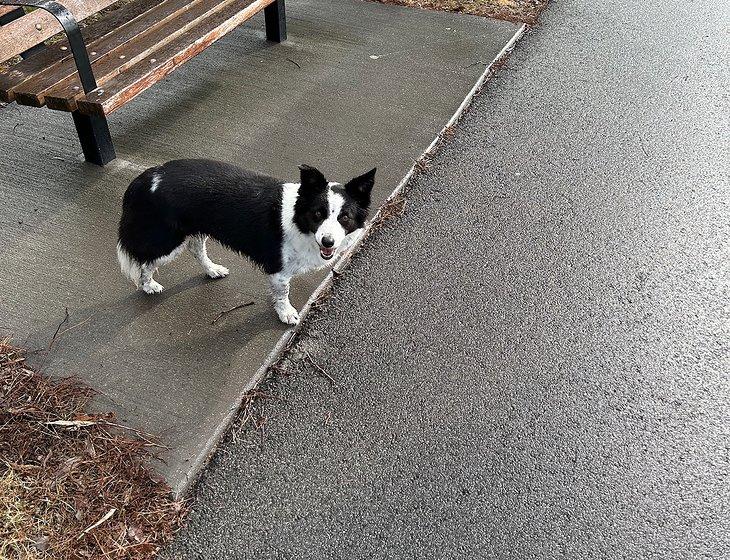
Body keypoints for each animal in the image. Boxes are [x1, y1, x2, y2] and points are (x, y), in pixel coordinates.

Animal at [116, 159, 376, 324]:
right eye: (318, 214)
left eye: (344, 217)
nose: (328, 242)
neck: (300, 222)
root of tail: (147, 176)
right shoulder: (278, 269)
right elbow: (283, 292)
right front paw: (286, 313)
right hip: (168, 241)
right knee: (146, 261)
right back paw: (148, 285)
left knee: (195, 248)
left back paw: (212, 270)